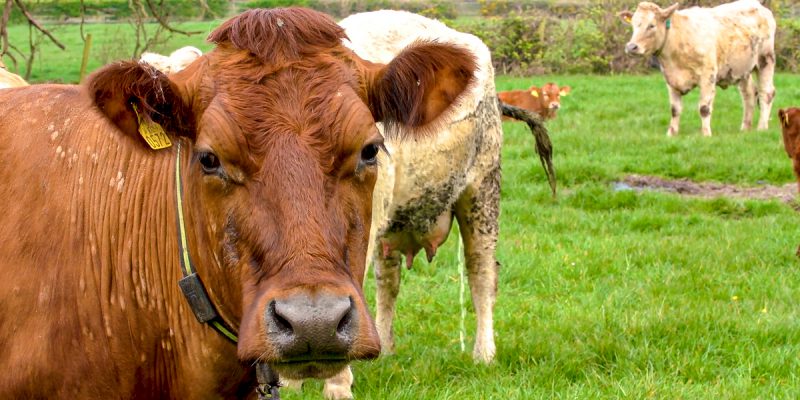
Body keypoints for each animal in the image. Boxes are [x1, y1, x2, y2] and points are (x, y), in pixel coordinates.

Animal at [619, 0, 776, 137]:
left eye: (651, 25)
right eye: (633, 24)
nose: (631, 47)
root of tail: (758, 5)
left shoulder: (708, 76)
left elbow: (704, 108)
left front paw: (706, 134)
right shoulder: (670, 78)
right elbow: (675, 109)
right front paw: (671, 133)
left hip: (765, 59)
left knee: (766, 93)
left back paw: (762, 127)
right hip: (742, 68)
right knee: (749, 93)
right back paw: (745, 128)